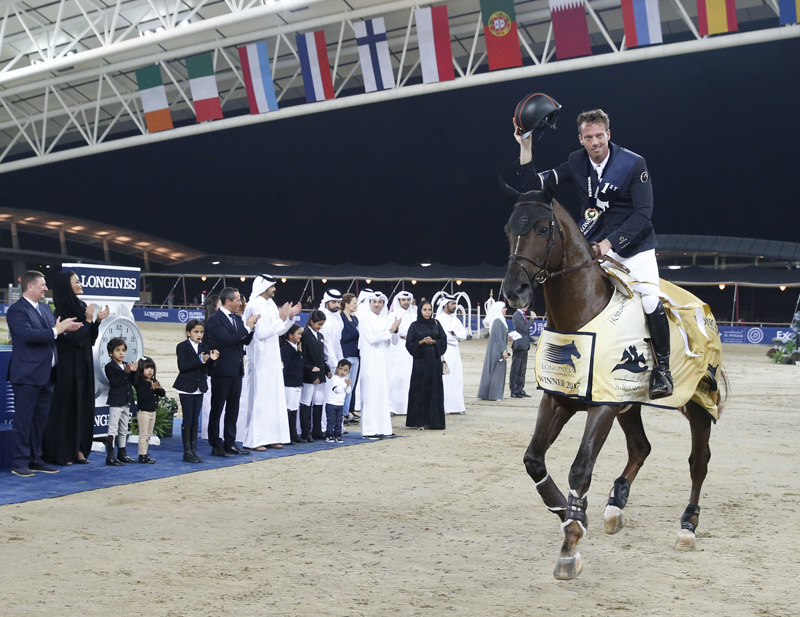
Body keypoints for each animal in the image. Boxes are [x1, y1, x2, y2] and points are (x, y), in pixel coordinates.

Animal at [506, 185, 724, 580]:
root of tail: (703, 308)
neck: (581, 316)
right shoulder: (560, 399)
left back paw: (687, 526)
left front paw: (571, 542)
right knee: (641, 447)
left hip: (698, 404)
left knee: (698, 462)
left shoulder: (603, 406)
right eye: (508, 229)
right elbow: (534, 460)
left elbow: (580, 469)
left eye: (543, 230)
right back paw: (615, 505)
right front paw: (568, 512)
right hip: (630, 404)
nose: (514, 291)